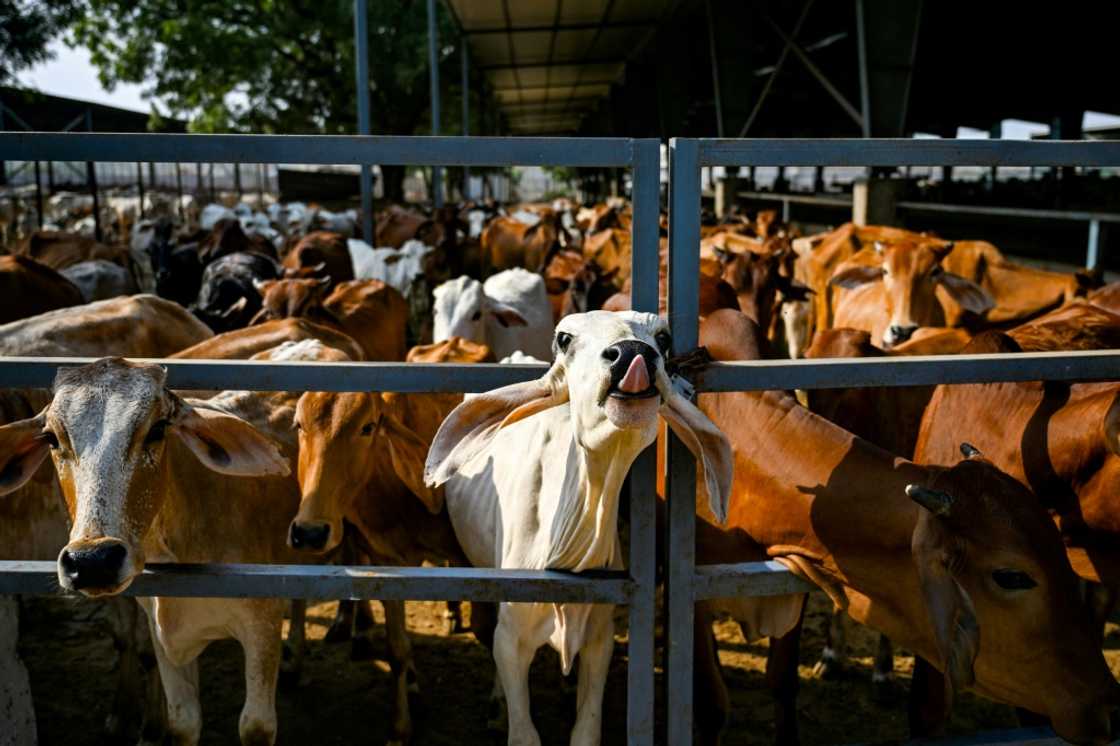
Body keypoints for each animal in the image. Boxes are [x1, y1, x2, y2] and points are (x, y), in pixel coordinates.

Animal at [423, 309, 730, 743]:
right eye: (565, 338)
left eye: (663, 337)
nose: (632, 353)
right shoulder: (511, 638)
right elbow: (523, 731)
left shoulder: (600, 640)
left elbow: (586, 730)